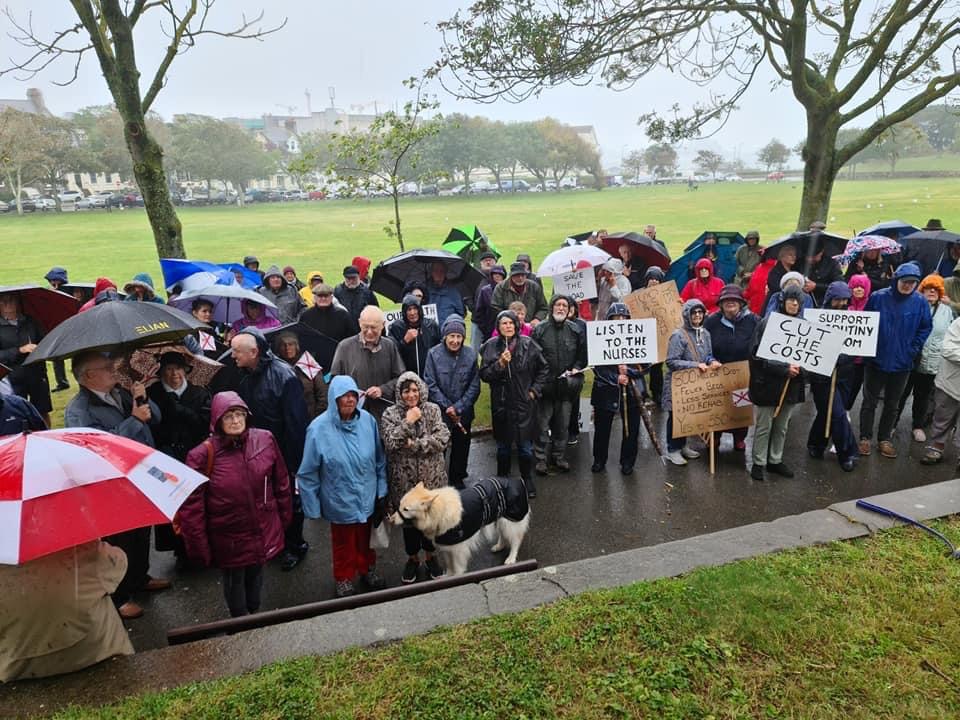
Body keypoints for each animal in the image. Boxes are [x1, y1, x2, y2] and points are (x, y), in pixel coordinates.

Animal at [396, 476, 532, 576]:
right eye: (400, 505)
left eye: (406, 509)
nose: (391, 519)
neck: (439, 510)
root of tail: (518, 480)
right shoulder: (447, 547)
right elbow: (449, 565)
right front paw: (448, 576)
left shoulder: (458, 549)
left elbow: (457, 567)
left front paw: (456, 578)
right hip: (501, 519)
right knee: (503, 535)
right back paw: (499, 546)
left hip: (511, 521)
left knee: (516, 540)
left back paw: (511, 558)